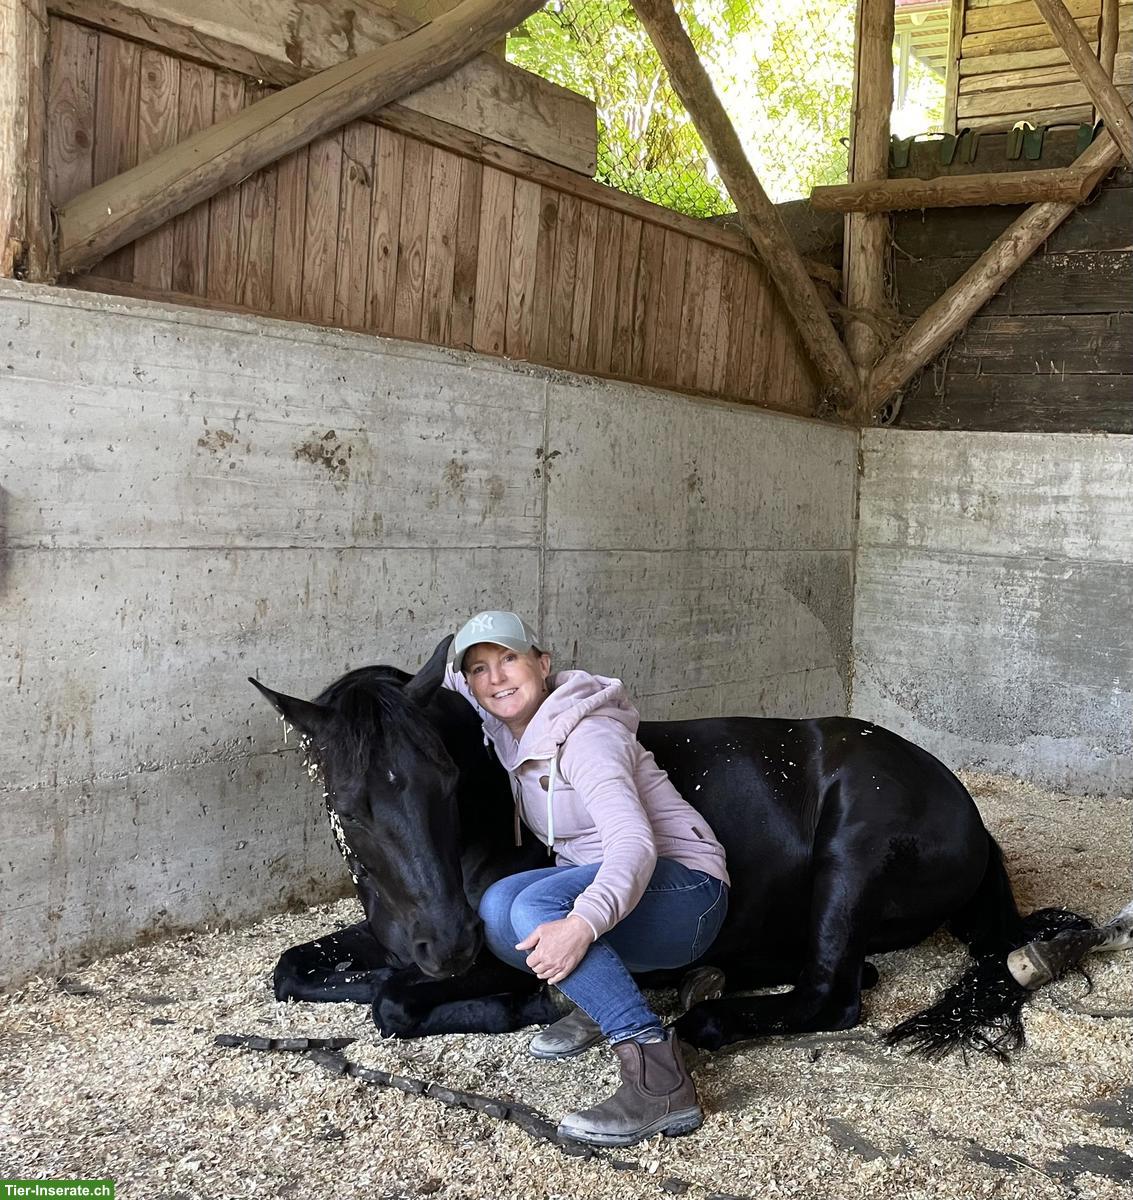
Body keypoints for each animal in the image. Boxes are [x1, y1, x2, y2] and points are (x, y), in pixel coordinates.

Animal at [250, 636, 1087, 1056]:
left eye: (448, 780)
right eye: (348, 806)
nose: (452, 941)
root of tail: (968, 814)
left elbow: (393, 1003)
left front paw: (516, 1006)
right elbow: (293, 970)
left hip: (850, 854)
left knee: (833, 994)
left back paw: (703, 1018)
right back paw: (707, 977)